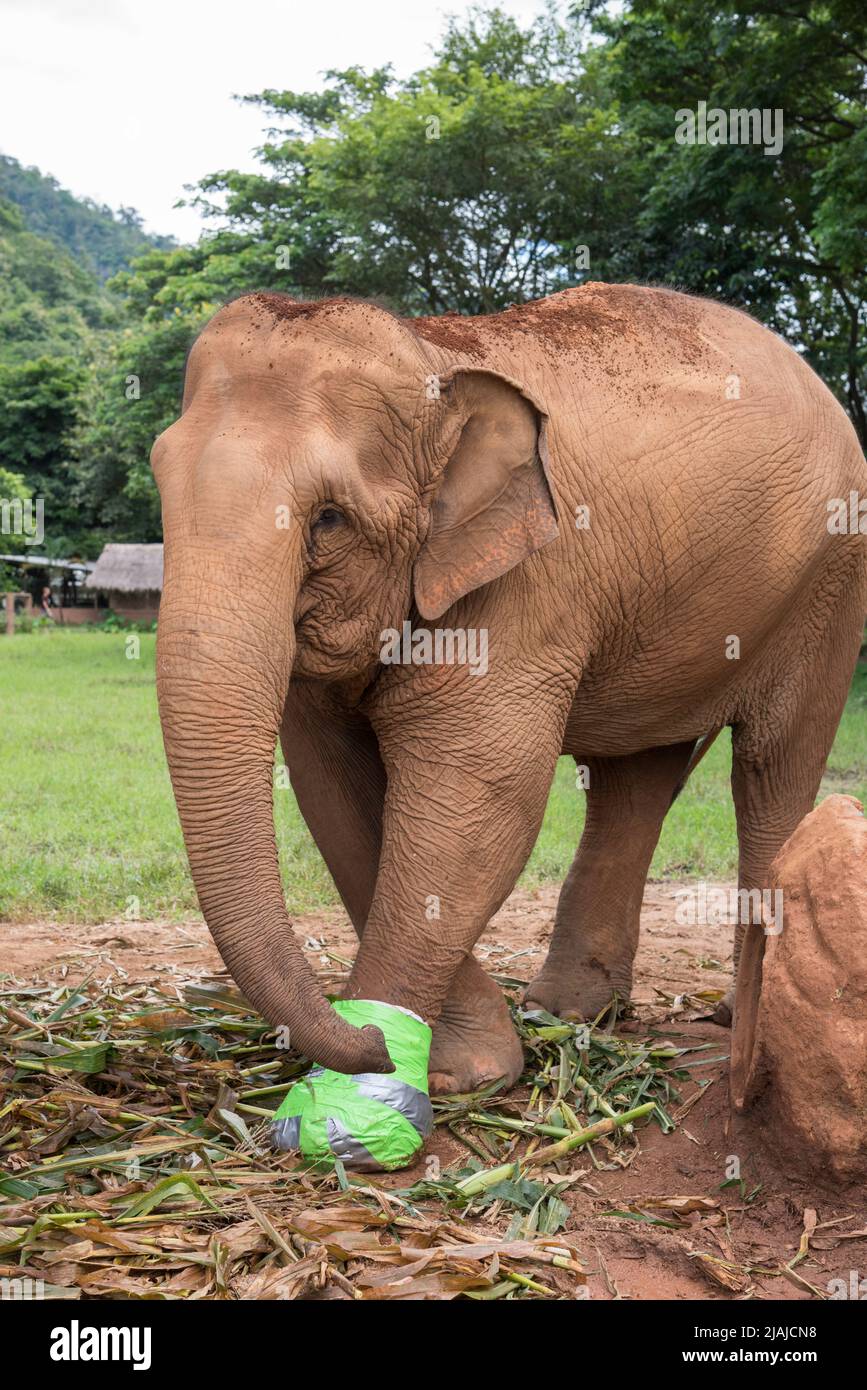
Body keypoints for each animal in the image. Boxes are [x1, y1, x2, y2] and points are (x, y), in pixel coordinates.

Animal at [150, 276, 867, 1156]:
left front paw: (396, 1090)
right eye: (160, 486)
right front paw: (452, 1062)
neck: (433, 355)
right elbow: (337, 794)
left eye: (326, 519)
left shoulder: (523, 584)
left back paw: (738, 1024)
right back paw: (569, 1012)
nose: (364, 1037)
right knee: (636, 776)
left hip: (829, 580)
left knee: (772, 770)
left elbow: (472, 801)